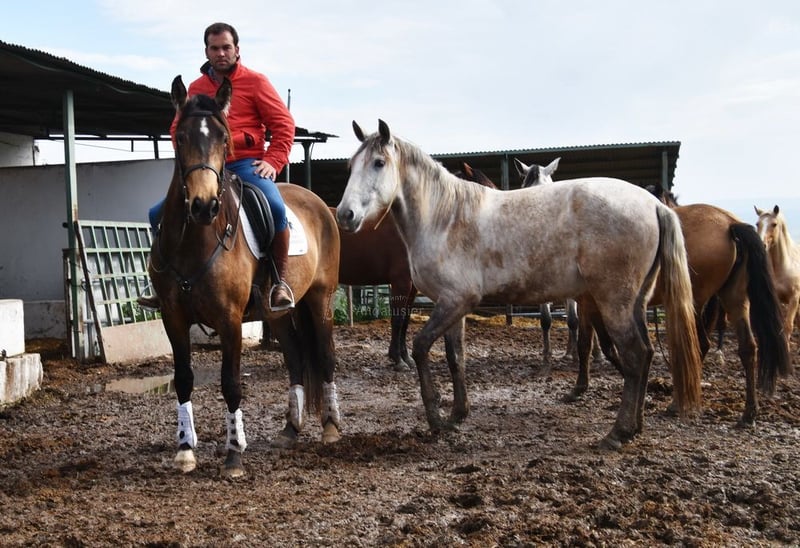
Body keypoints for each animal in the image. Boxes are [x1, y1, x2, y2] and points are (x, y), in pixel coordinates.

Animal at [147, 76, 341, 477]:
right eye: (180, 137)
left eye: (223, 138)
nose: (204, 205)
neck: (197, 239)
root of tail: (320, 204)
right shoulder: (173, 317)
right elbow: (183, 378)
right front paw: (185, 449)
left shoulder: (230, 319)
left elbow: (232, 383)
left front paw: (234, 454)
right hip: (278, 313)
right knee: (296, 359)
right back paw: (290, 429)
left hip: (321, 301)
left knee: (326, 356)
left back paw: (331, 427)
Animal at [337, 120, 703, 450]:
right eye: (350, 166)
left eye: (379, 162)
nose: (345, 215)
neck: (446, 218)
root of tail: (654, 205)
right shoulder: (453, 305)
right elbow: (456, 358)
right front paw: (457, 414)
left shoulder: (455, 301)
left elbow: (421, 347)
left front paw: (436, 419)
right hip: (635, 302)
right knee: (647, 353)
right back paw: (635, 426)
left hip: (615, 302)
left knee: (636, 354)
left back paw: (617, 433)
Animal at [573, 188, 791, 425]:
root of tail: (730, 223)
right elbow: (590, 344)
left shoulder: (590, 303)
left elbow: (596, 345)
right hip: (734, 299)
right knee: (748, 348)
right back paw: (749, 413)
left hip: (693, 303)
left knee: (700, 345)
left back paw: (677, 402)